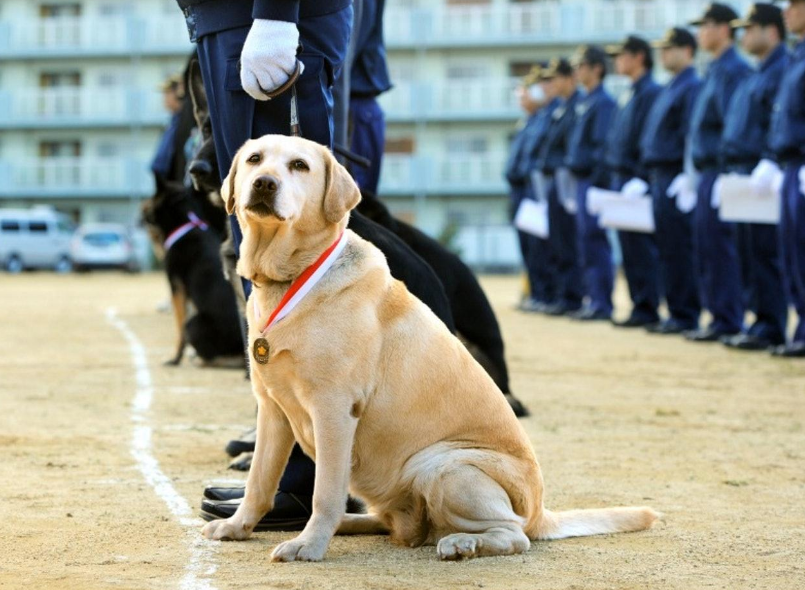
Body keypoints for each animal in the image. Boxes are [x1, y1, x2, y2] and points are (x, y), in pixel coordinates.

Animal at [142, 178, 242, 368]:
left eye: (151, 199)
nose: (141, 216)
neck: (185, 224)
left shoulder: (177, 289)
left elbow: (179, 326)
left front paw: (175, 358)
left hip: (194, 323)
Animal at [199, 135, 652, 564]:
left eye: (299, 165)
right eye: (255, 159)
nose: (264, 183)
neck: (293, 276)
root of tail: (541, 512)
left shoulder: (334, 410)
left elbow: (323, 491)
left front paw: (308, 545)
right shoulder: (273, 408)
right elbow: (259, 482)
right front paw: (238, 526)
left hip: (441, 464)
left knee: (513, 534)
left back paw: (461, 543)